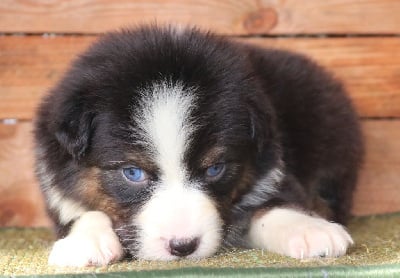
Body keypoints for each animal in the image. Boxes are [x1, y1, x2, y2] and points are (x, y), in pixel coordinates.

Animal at [36, 25, 364, 266]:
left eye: (215, 169)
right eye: (132, 172)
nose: (183, 247)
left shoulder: (273, 169)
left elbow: (272, 204)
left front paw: (310, 229)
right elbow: (84, 212)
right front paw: (84, 242)